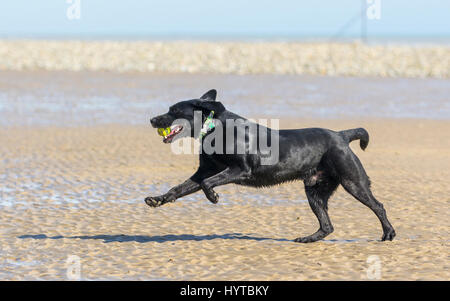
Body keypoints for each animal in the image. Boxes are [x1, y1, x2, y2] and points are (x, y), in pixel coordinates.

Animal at [146, 88, 396, 241]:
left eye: (174, 111)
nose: (152, 119)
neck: (215, 128)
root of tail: (341, 135)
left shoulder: (240, 170)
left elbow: (209, 183)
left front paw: (213, 197)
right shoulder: (203, 172)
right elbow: (179, 188)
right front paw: (157, 199)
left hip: (353, 181)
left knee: (378, 206)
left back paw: (388, 233)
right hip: (314, 191)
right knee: (327, 226)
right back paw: (308, 239)